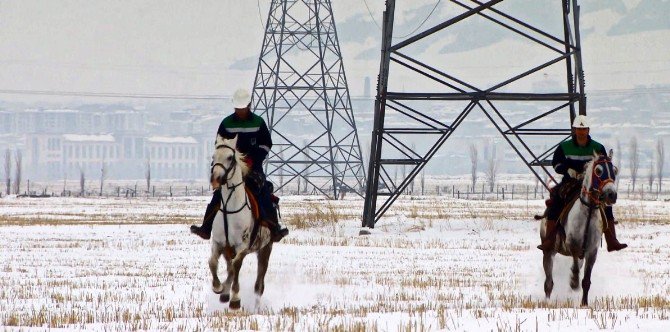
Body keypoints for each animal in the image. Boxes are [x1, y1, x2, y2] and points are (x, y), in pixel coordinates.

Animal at [210, 134, 272, 308]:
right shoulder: (218, 243)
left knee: (259, 284)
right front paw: (218, 287)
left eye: (230, 157)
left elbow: (237, 266)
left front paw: (235, 299)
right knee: (229, 268)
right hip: (228, 250)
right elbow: (213, 263)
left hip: (265, 250)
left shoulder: (242, 246)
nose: (215, 179)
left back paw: (255, 305)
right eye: (213, 157)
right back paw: (224, 292)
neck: (230, 208)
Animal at [540, 150, 620, 306]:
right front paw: (573, 282)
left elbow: (586, 281)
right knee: (548, 282)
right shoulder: (573, 245)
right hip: (548, 252)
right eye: (598, 170)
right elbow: (576, 269)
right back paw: (547, 301)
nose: (611, 195)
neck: (588, 212)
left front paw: (584, 303)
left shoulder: (591, 251)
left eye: (614, 170)